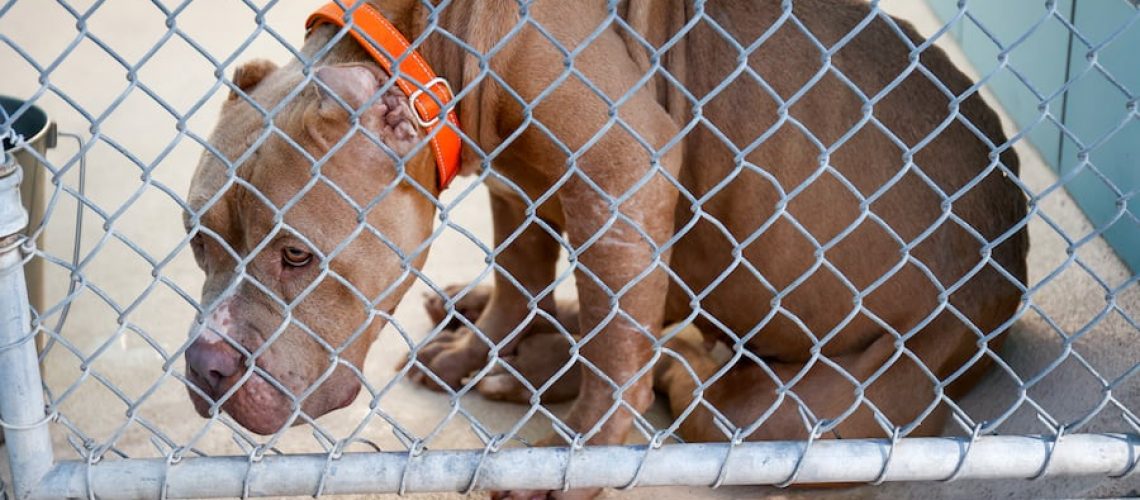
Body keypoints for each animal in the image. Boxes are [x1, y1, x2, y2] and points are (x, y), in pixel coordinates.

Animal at [184, 1, 1026, 498]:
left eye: (297, 256)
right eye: (198, 241)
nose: (205, 366)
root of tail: (1010, 265)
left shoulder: (628, 172)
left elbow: (618, 350)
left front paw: (576, 459)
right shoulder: (518, 187)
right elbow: (520, 280)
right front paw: (482, 351)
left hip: (832, 401)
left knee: (684, 378)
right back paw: (486, 326)